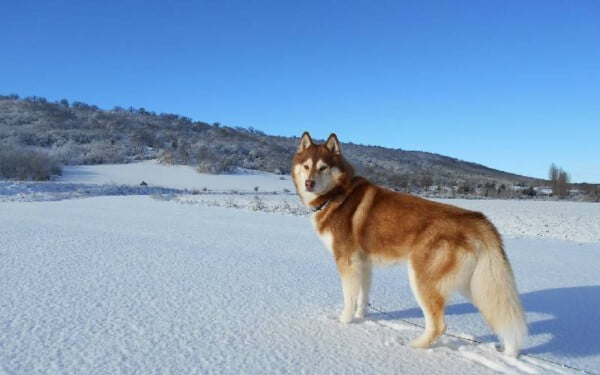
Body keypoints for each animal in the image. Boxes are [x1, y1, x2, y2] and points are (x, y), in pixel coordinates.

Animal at [292, 133, 528, 358]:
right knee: (501, 314)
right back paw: (510, 352)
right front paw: (361, 318)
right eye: (307, 166)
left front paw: (344, 323)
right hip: (475, 285)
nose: (309, 183)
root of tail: (475, 219)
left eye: (323, 167)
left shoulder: (346, 261)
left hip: (422, 280)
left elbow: (349, 299)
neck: (337, 194)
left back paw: (414, 347)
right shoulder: (364, 264)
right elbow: (362, 296)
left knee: (439, 325)